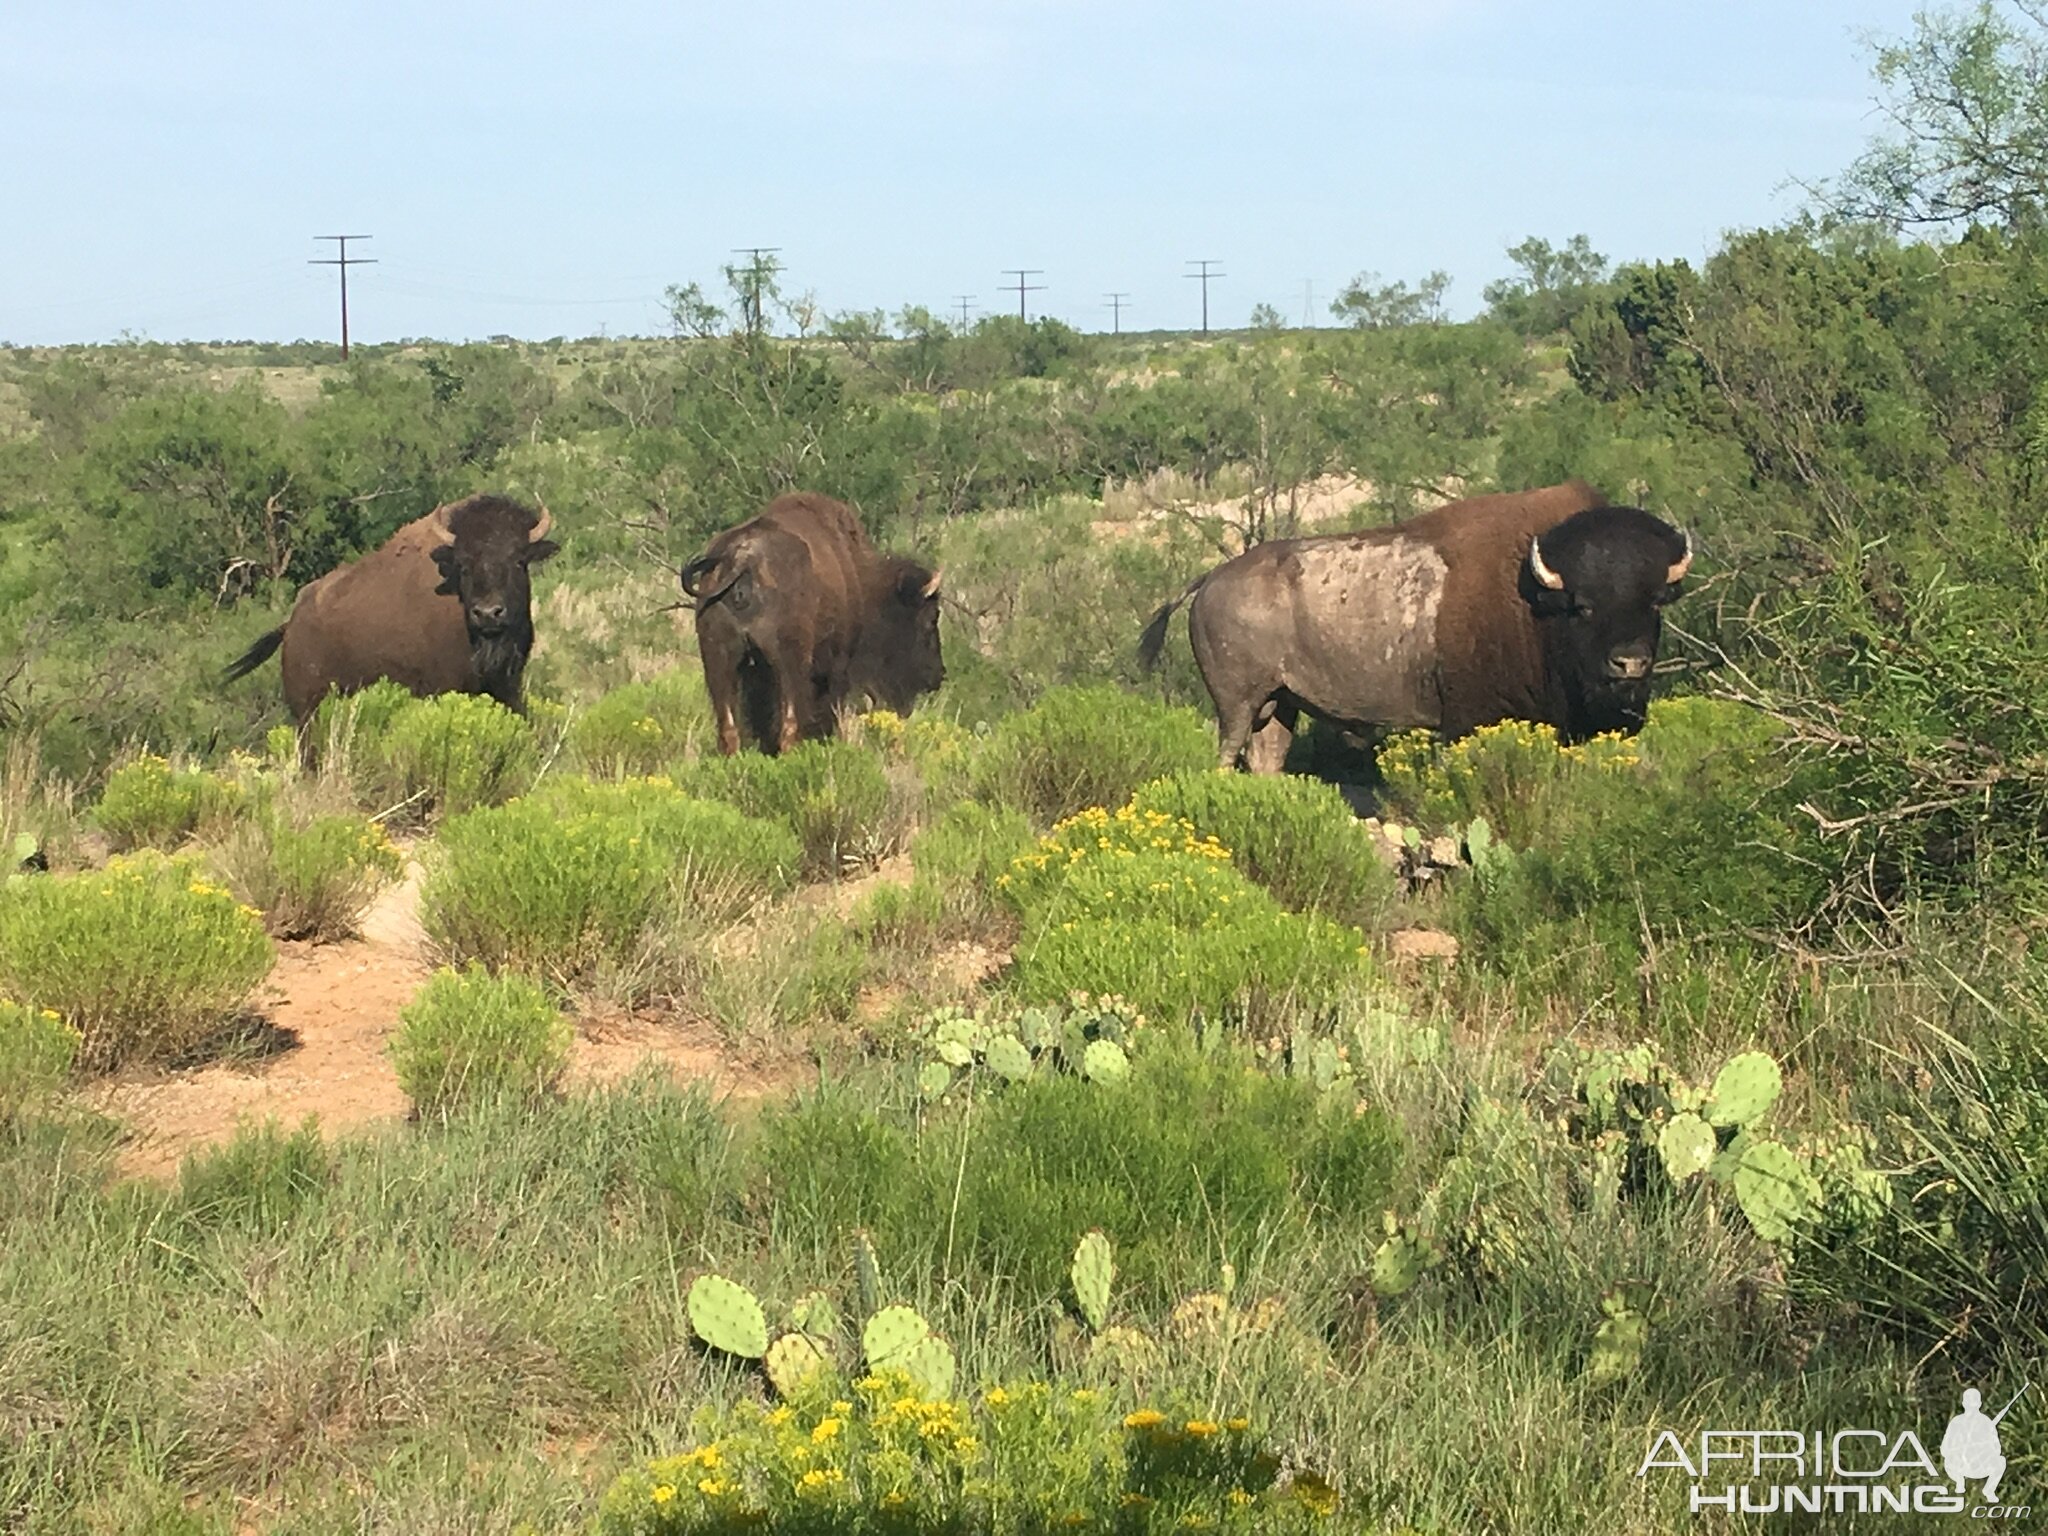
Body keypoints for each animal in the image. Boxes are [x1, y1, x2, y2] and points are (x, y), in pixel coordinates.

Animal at [223, 495, 557, 729]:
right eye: (462, 565)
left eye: (519, 560)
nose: (488, 613)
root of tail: (290, 625)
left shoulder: (507, 686)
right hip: (307, 712)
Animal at [684, 493, 946, 757]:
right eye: (931, 617)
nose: (938, 674)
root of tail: (742, 559)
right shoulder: (838, 667)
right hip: (788, 664)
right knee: (789, 724)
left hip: (719, 661)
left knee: (728, 727)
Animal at [1138, 481, 1695, 770]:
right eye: (1582, 605)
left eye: (1655, 601)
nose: (1629, 663)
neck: (1534, 599)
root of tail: (1212, 578)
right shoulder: (1468, 722)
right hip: (1238, 704)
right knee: (1229, 751)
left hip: (1280, 705)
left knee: (1267, 756)